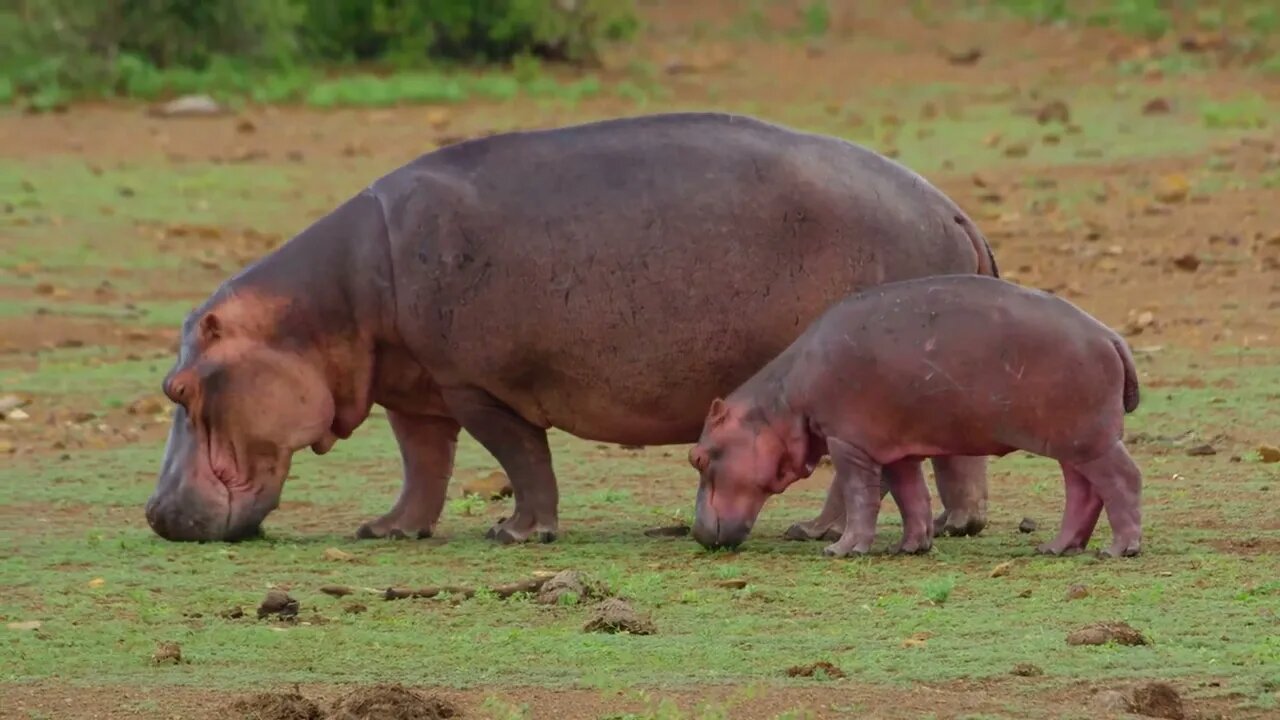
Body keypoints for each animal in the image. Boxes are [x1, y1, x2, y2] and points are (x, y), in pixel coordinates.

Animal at [145, 110, 993, 538]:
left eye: (177, 388)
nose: (155, 513)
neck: (328, 300)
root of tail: (952, 207)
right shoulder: (416, 387)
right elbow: (424, 465)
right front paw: (387, 530)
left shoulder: (477, 386)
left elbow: (521, 458)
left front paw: (518, 534)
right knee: (954, 458)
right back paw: (959, 524)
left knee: (864, 471)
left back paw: (813, 532)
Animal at [691, 271, 1141, 558]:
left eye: (698, 457)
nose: (696, 533)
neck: (781, 402)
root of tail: (1111, 336)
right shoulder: (894, 447)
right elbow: (912, 496)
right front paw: (910, 547)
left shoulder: (848, 442)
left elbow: (860, 495)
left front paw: (841, 549)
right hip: (1073, 441)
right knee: (1083, 491)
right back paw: (1056, 548)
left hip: (1090, 439)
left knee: (1123, 480)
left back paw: (1117, 550)